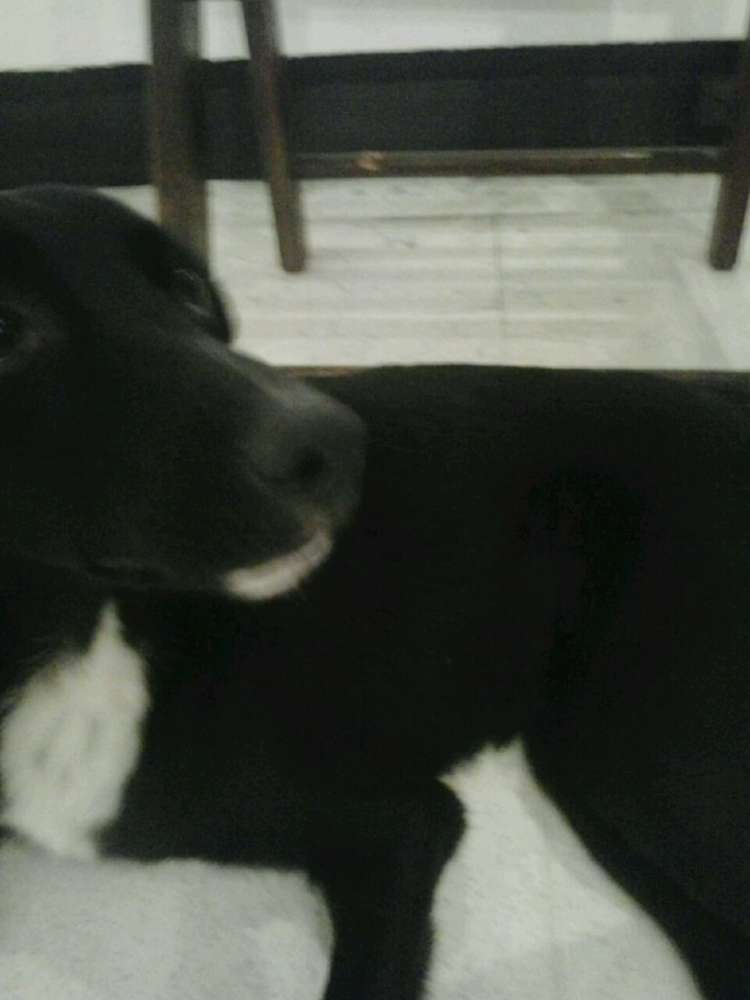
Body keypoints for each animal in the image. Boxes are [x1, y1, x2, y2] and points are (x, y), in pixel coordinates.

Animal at [1, 185, 749, 1000]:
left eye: (190, 288)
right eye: (7, 329)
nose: (336, 445)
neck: (71, 634)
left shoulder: (398, 827)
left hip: (647, 760)